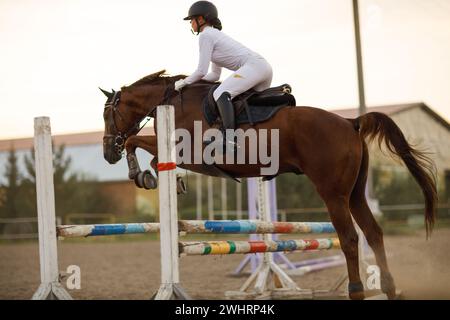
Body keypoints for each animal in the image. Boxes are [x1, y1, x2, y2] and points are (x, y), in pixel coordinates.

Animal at [101, 70, 436, 300]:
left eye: (107, 114)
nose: (106, 153)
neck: (170, 103)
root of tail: (350, 122)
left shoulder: (188, 152)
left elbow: (136, 141)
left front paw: (141, 175)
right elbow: (151, 153)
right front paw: (161, 178)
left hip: (333, 194)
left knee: (351, 238)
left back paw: (356, 290)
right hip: (354, 193)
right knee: (373, 233)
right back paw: (390, 288)